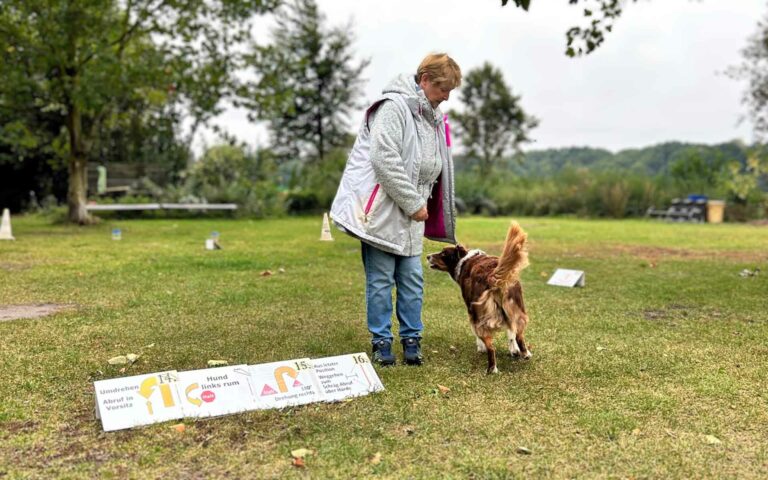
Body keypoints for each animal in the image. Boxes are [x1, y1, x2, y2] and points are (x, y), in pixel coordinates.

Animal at [424, 222, 532, 376]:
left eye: (443, 253)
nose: (427, 256)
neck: (464, 260)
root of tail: (493, 275)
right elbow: (511, 332)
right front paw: (514, 350)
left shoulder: (470, 307)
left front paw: (480, 347)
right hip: (517, 307)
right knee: (519, 334)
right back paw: (525, 353)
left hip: (479, 313)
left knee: (491, 347)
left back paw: (492, 368)